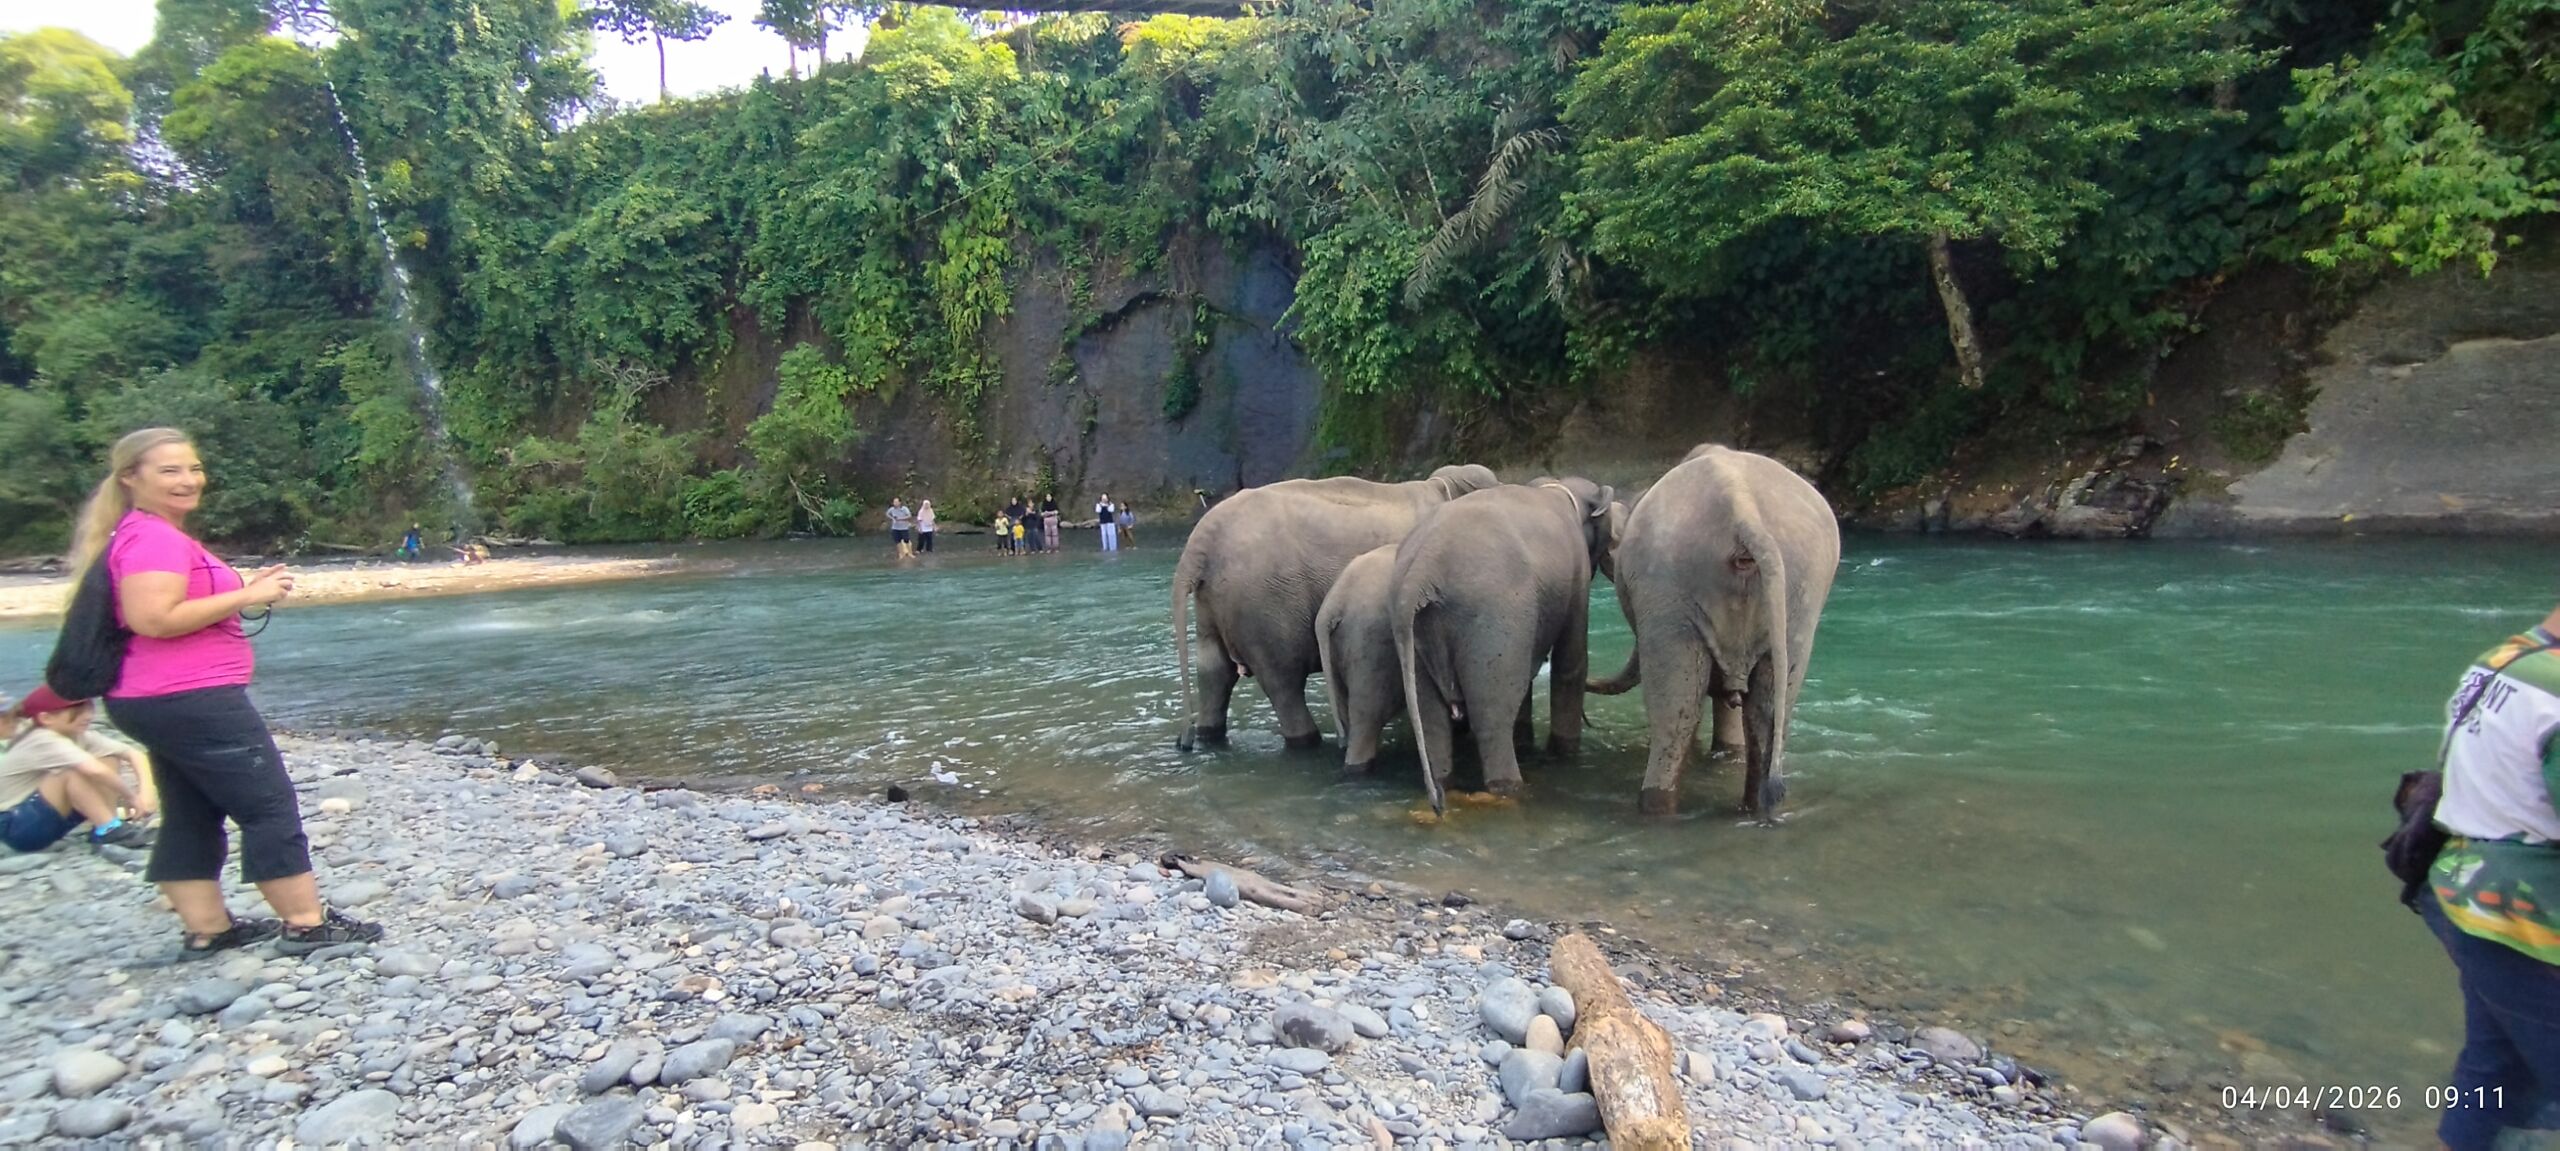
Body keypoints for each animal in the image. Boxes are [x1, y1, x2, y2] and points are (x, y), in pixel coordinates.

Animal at [1173, 464, 1502, 751]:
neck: (1439, 485)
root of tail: (1201, 540)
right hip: (1264, 605)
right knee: (1282, 680)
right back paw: (1309, 743)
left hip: (1215, 603)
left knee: (1214, 671)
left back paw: (1207, 737)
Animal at [1391, 476, 1624, 813]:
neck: (1556, 487)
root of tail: (1420, 571)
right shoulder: (1577, 576)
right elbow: (1571, 663)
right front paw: (1563, 755)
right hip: (1493, 617)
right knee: (1492, 722)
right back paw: (1510, 790)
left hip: (1418, 637)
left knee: (1432, 721)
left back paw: (1444, 790)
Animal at [1589, 444, 1840, 821]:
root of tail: (1744, 512)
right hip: (1797, 597)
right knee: (1766, 710)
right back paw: (1757, 811)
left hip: (1672, 594)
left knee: (1677, 713)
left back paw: (1657, 811)